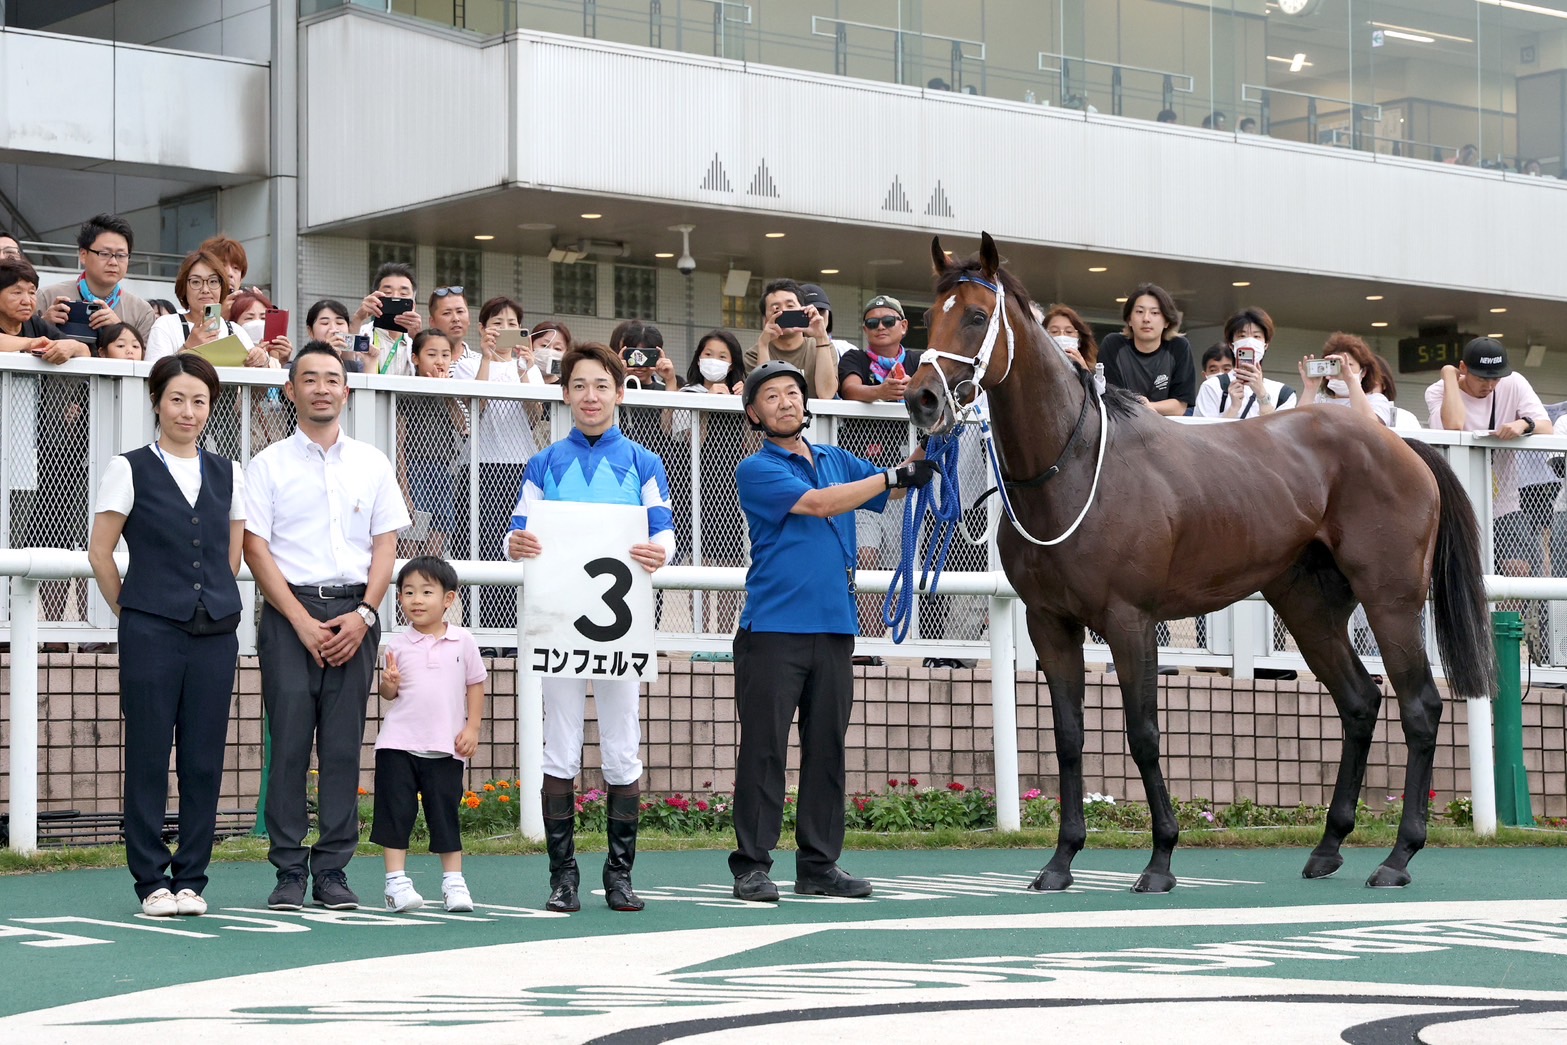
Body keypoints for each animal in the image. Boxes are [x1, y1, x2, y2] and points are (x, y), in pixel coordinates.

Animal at [908, 233, 1491, 896]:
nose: (920, 398)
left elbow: (1144, 735)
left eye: (977, 316)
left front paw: (1160, 858)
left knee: (1420, 707)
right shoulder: (1050, 622)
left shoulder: (1130, 620)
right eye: (929, 318)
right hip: (1309, 607)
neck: (1074, 465)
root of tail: (1400, 443)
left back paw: (1399, 855)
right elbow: (1068, 738)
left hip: (1390, 598)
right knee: (1360, 702)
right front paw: (1060, 861)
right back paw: (1328, 846)